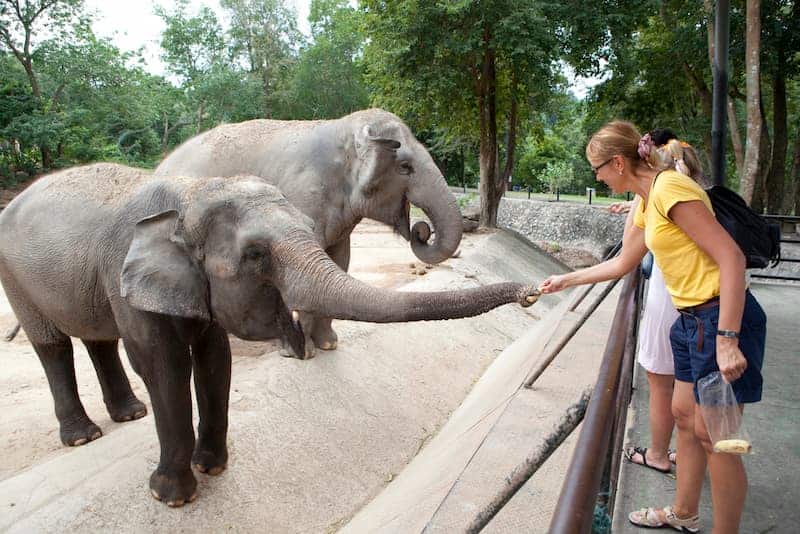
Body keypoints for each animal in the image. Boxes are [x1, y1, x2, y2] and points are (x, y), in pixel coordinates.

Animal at [0, 163, 540, 506]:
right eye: (256, 254)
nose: (534, 292)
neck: (188, 195)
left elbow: (215, 357)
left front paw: (213, 468)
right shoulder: (124, 275)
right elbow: (163, 364)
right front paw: (170, 496)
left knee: (96, 338)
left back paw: (129, 415)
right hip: (16, 278)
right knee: (52, 344)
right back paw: (84, 437)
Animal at [154, 108, 462, 360]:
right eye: (405, 167)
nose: (421, 231)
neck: (343, 128)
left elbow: (340, 260)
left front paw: (329, 345)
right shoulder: (302, 195)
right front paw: (302, 352)